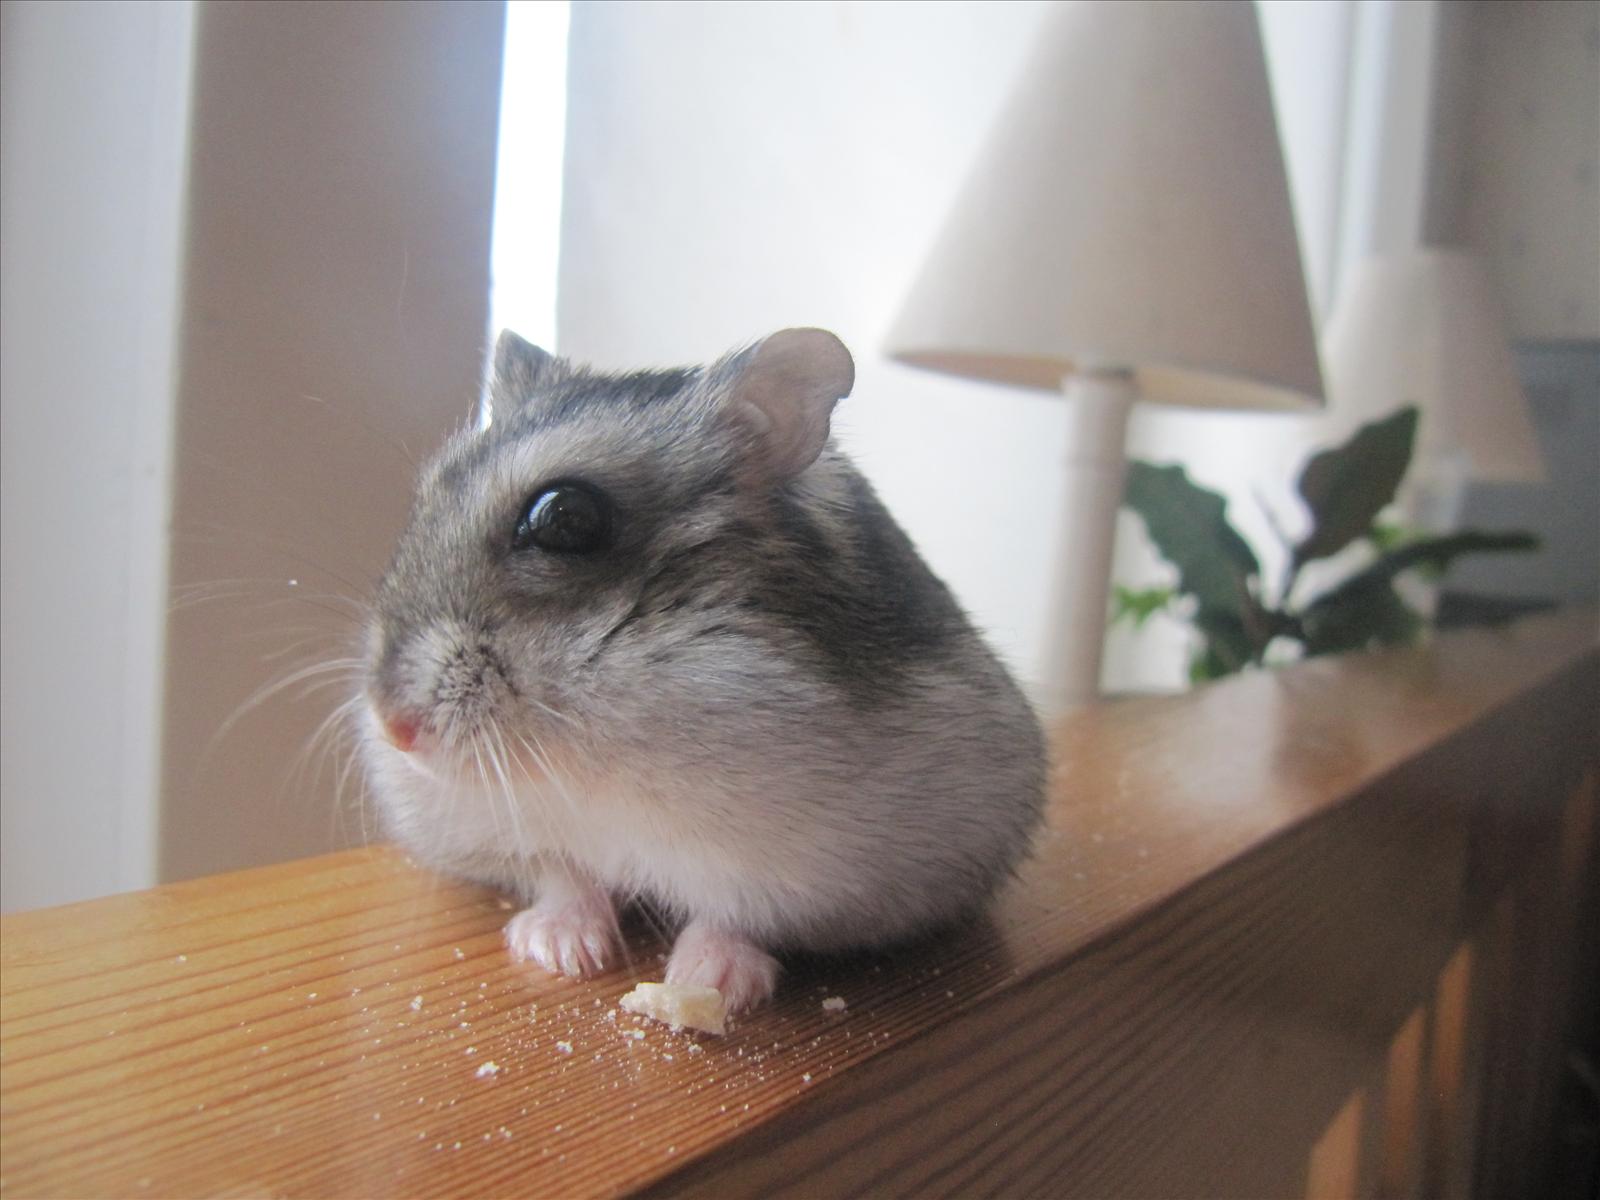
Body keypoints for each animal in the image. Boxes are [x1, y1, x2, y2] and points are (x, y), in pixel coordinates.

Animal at [361, 328, 1045, 1010]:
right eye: (425, 496)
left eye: (564, 516)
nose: (394, 730)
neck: (595, 752)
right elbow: (563, 872)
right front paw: (560, 952)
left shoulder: (814, 875)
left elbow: (737, 915)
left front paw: (709, 984)